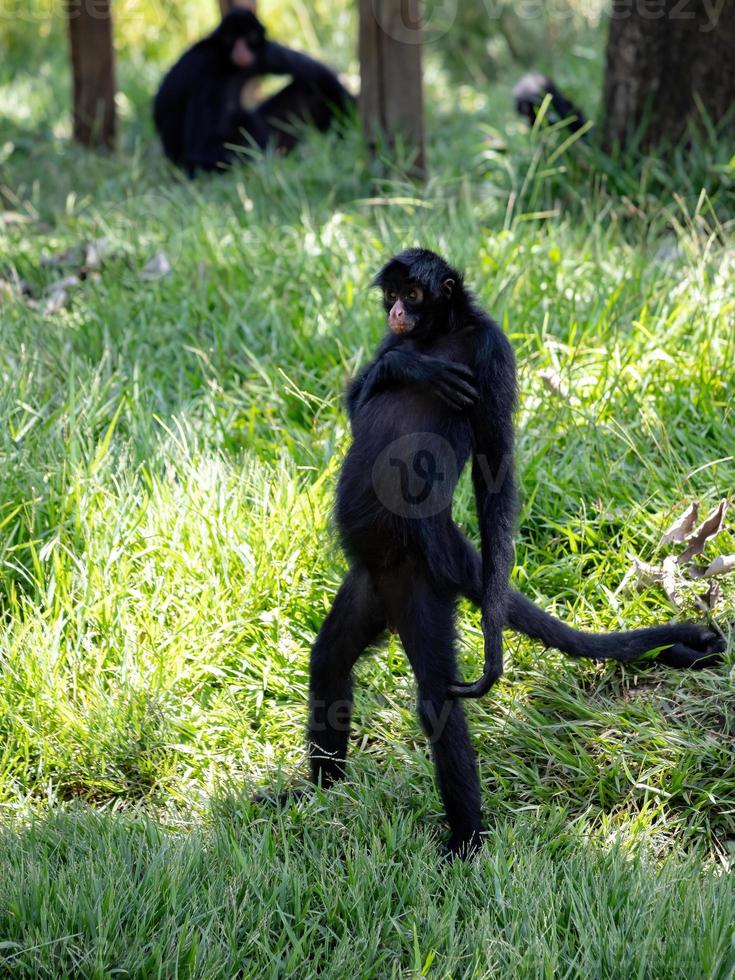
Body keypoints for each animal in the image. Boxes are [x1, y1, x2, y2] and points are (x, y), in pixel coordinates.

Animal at [154, 9, 356, 177]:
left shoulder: (263, 54)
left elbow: (317, 72)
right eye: (231, 38)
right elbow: (200, 150)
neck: (230, 67)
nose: (241, 49)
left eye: (249, 37)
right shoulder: (208, 73)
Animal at [304, 247, 724, 856]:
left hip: (417, 579)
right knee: (330, 658)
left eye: (414, 295)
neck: (442, 333)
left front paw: (493, 646)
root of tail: (445, 540)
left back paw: (465, 847)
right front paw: (408, 369)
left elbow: (495, 465)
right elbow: (362, 403)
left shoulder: (493, 348)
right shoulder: (392, 344)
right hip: (373, 580)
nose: (398, 314)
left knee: (437, 699)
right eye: (393, 296)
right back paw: (316, 797)